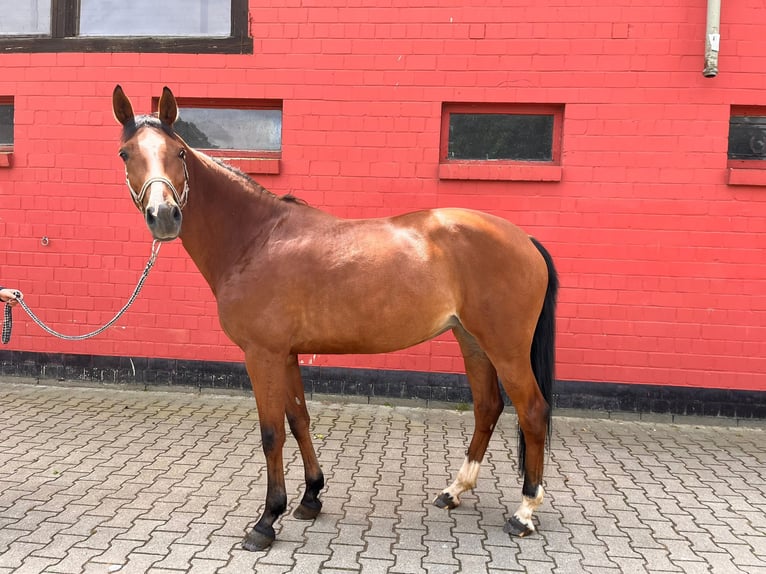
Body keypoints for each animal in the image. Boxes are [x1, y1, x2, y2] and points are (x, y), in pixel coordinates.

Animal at [112, 86, 560, 552]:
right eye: (126, 153)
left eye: (179, 152)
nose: (164, 216)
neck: (255, 238)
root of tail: (525, 239)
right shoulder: (286, 355)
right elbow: (299, 421)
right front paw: (310, 496)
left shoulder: (262, 355)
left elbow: (271, 433)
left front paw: (267, 520)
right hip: (472, 341)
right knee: (488, 407)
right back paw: (454, 490)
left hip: (506, 347)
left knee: (532, 411)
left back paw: (525, 512)